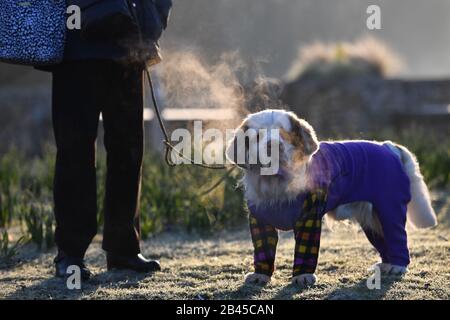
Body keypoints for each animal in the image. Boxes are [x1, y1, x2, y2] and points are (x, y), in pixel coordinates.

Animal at [227, 109, 438, 286]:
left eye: (286, 134)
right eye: (257, 136)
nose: (274, 145)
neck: (277, 182)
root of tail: (389, 147)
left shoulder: (309, 218)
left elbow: (305, 249)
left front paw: (303, 276)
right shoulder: (260, 221)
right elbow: (263, 250)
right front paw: (260, 276)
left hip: (389, 209)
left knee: (398, 238)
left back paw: (397, 266)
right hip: (372, 218)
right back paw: (386, 264)